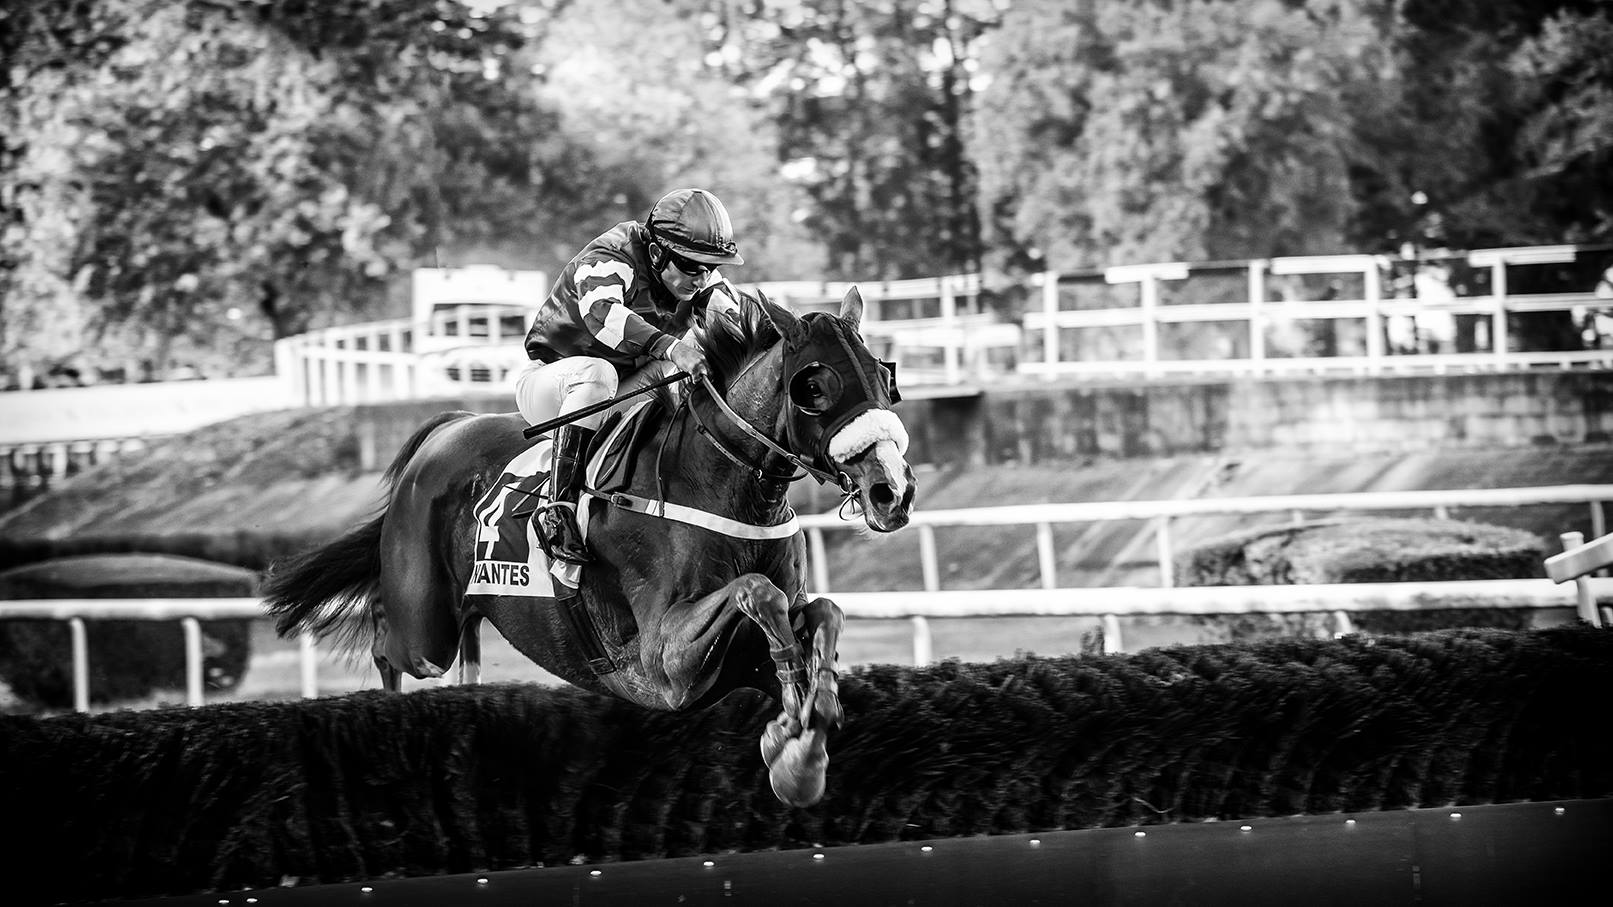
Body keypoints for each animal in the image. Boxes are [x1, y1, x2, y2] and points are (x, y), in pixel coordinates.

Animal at [266, 285, 922, 800]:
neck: (715, 476)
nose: (892, 490)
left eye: (883, 375)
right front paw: (792, 733)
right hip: (423, 626)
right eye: (816, 385)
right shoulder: (662, 662)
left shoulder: (743, 653)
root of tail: (445, 428)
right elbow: (757, 591)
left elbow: (823, 611)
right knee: (386, 638)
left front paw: (806, 732)